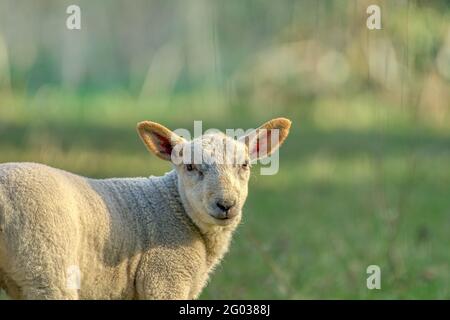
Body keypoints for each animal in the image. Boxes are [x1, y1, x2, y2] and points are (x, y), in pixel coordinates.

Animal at [0, 117, 290, 300]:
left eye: (244, 165)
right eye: (190, 167)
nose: (226, 204)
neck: (177, 208)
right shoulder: (164, 278)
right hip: (46, 264)